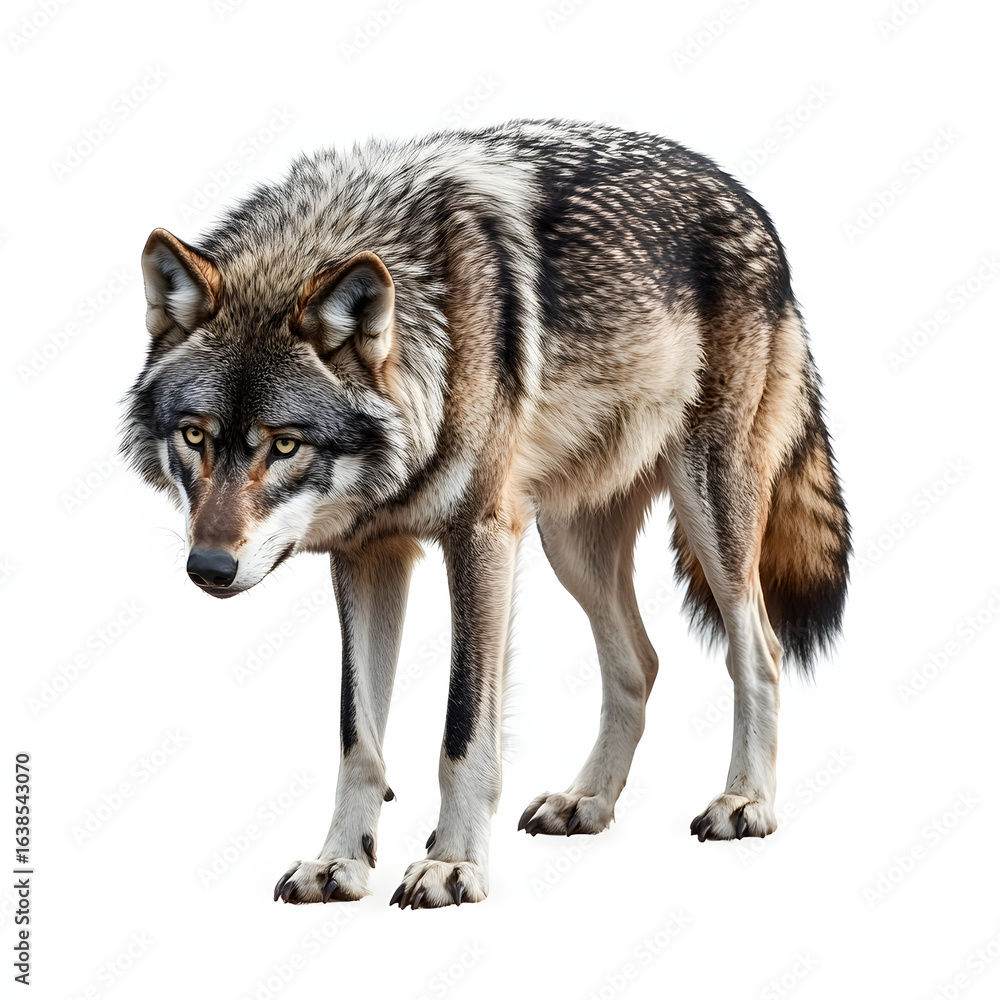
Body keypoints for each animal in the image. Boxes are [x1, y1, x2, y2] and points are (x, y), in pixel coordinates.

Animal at [122, 119, 850, 909]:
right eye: (195, 436)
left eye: (284, 444)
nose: (208, 567)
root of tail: (742, 194)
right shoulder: (368, 555)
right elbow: (357, 737)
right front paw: (340, 861)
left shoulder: (480, 538)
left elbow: (463, 731)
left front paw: (453, 864)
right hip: (569, 543)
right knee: (641, 661)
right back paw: (587, 801)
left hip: (709, 510)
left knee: (760, 651)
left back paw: (746, 802)